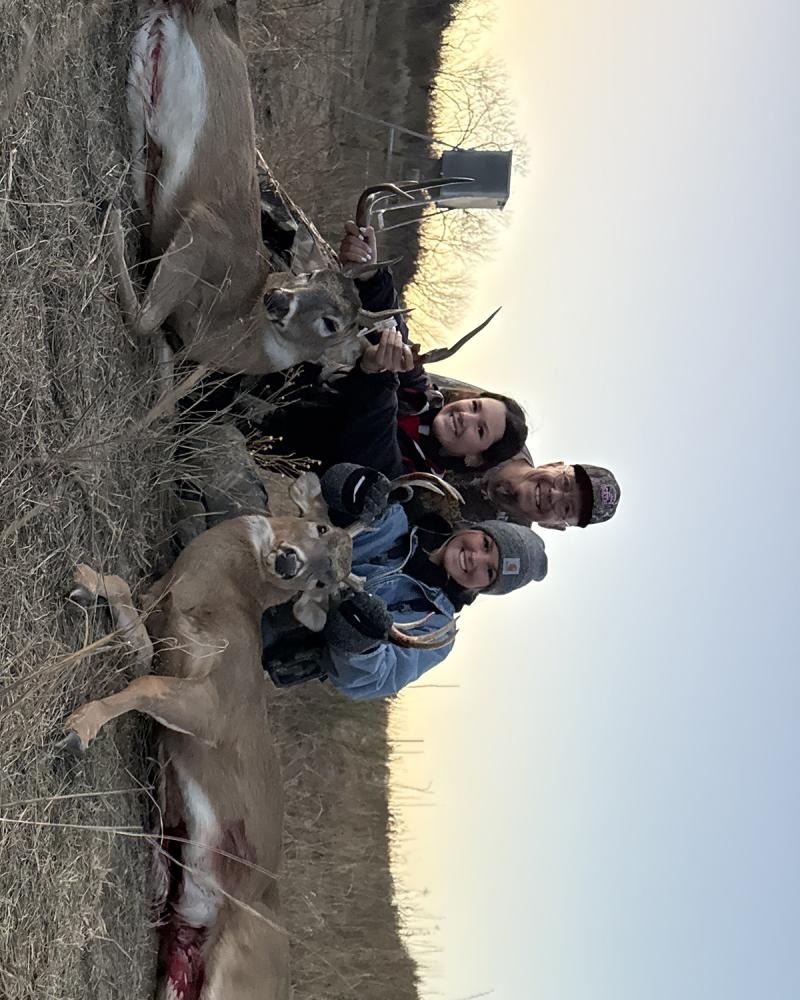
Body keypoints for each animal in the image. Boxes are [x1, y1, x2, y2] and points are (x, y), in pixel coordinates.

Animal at [59, 471, 455, 1000]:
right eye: (322, 527)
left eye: (326, 582)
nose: (289, 561)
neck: (219, 598)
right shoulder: (161, 640)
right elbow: (125, 598)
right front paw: (84, 581)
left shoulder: (214, 706)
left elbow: (145, 687)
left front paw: (78, 729)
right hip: (180, 971)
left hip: (235, 970)